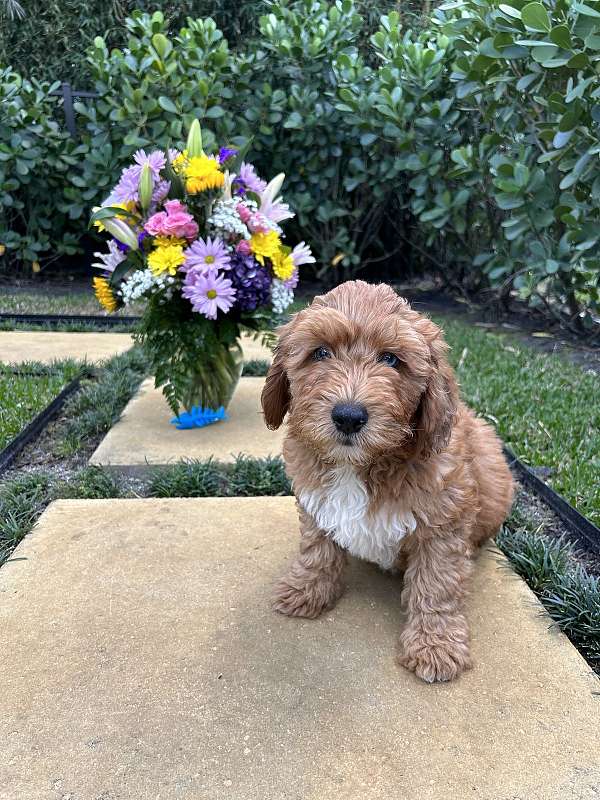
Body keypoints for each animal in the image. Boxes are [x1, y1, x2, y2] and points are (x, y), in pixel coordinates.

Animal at [260, 280, 512, 680]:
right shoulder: (316, 501)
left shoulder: (444, 521)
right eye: (320, 352)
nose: (348, 416)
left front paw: (435, 645)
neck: (359, 466)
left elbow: (438, 582)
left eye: (391, 359)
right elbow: (317, 549)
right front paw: (306, 589)